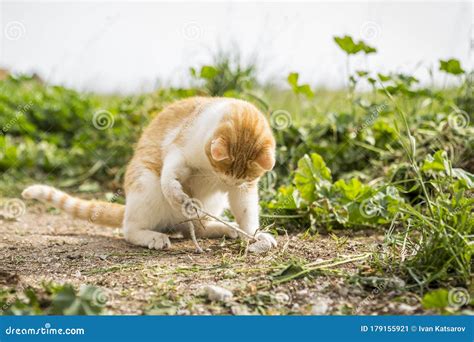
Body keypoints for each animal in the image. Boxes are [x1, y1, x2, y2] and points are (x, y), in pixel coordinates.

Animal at [22, 96, 278, 251]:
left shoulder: (242, 190)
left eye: (243, 178)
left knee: (193, 229)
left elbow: (246, 213)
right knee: (130, 229)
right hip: (146, 184)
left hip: (213, 203)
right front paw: (176, 195)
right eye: (221, 170)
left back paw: (223, 227)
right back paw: (152, 236)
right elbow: (169, 179)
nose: (226, 181)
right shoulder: (178, 152)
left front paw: (254, 236)